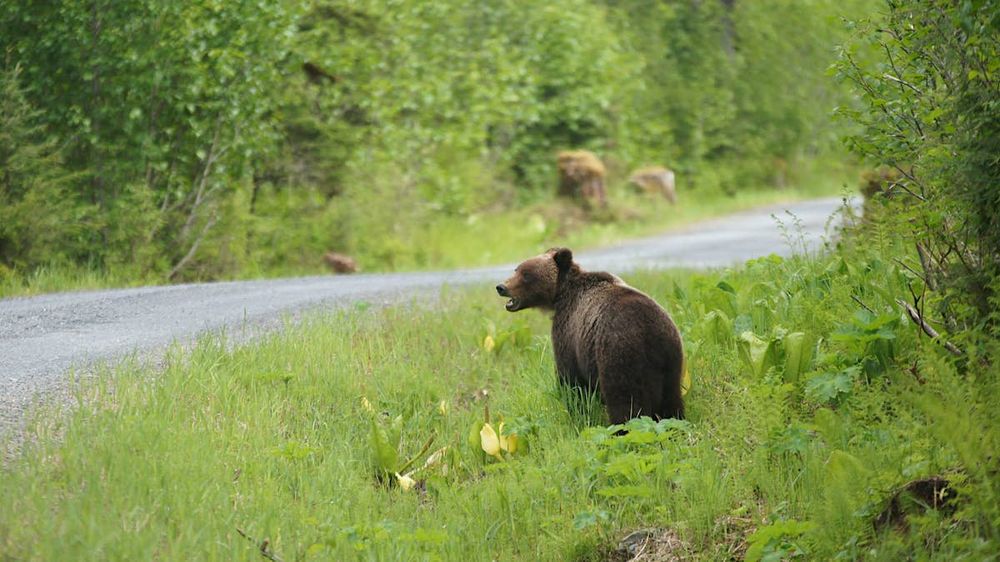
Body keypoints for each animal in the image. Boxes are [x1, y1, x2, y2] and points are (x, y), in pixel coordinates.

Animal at [496, 247, 684, 423]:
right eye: (516, 269)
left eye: (526, 275)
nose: (501, 287)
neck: (560, 295)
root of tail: (649, 333)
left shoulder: (568, 331)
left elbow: (571, 380)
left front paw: (576, 411)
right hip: (671, 360)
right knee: (671, 401)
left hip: (618, 354)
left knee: (625, 402)